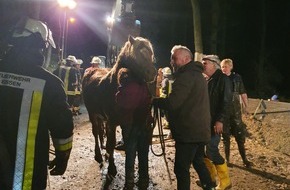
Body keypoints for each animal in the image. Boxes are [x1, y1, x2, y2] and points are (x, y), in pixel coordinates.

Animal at [81, 35, 156, 187]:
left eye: (151, 53)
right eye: (139, 52)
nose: (152, 72)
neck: (113, 85)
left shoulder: (125, 123)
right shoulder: (112, 122)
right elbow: (111, 145)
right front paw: (111, 169)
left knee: (100, 133)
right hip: (93, 114)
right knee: (96, 132)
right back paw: (98, 154)